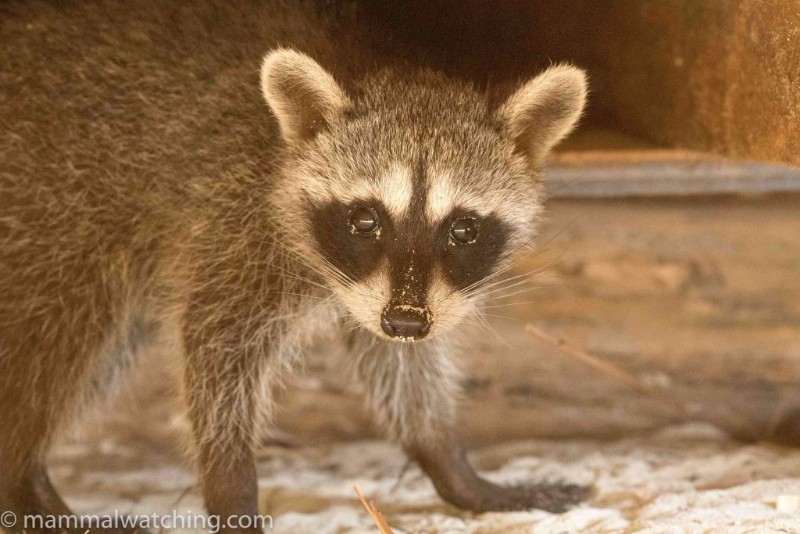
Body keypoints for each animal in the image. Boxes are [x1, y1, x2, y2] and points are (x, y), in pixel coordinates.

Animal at [0, 0, 588, 532]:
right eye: (365, 219)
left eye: (463, 228)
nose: (404, 321)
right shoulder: (230, 227)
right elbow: (216, 356)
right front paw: (231, 487)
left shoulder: (402, 295)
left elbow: (402, 366)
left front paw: (446, 459)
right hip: (51, 217)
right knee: (54, 341)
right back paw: (21, 478)